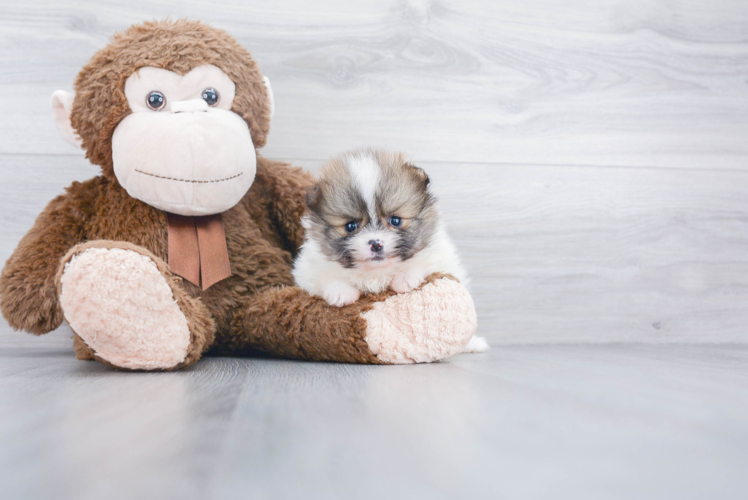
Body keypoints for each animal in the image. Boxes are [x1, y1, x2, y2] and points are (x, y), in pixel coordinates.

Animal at [292, 150, 490, 354]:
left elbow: (422, 261)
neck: (377, 272)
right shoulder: (307, 268)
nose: (375, 244)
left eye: (395, 220)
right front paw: (341, 293)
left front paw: (405, 278)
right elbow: (324, 277)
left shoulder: (440, 256)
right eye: (350, 226)